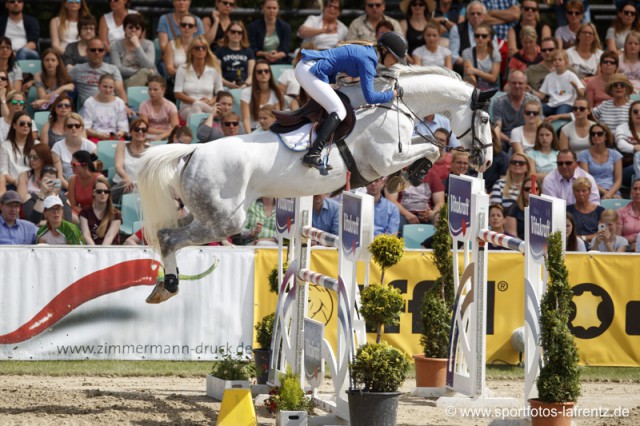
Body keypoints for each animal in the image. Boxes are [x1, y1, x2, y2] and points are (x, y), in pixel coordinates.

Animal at [138, 65, 492, 302]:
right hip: (225, 220)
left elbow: (428, 146)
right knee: (169, 237)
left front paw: (401, 180)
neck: (392, 104)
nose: (486, 162)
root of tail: (193, 151)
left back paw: (162, 287)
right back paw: (169, 286)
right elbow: (432, 149)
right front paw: (407, 177)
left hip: (204, 211)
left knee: (168, 232)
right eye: (486, 119)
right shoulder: (385, 159)